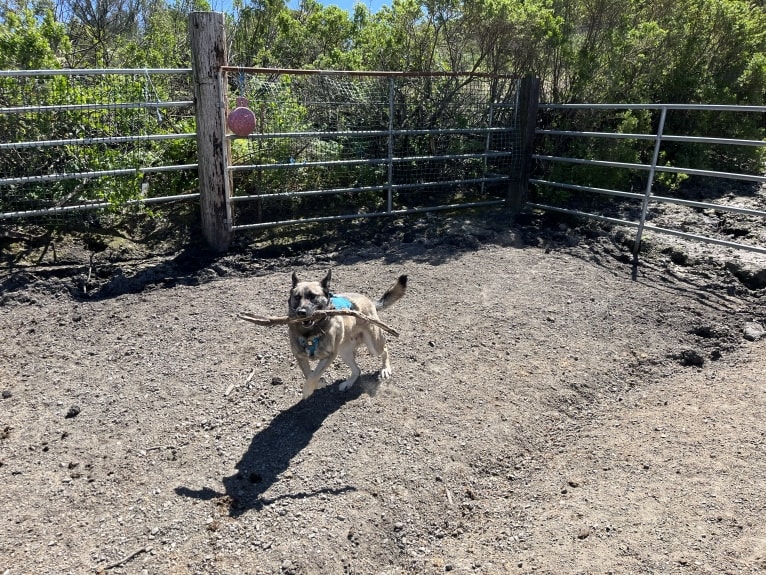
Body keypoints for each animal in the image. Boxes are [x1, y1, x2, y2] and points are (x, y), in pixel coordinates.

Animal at [288, 272, 408, 400]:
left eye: (312, 296)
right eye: (297, 297)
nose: (301, 312)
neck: (310, 333)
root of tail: (368, 300)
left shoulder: (329, 355)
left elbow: (314, 374)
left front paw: (307, 389)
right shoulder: (300, 356)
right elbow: (308, 374)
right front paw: (318, 384)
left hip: (373, 345)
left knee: (384, 350)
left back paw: (385, 369)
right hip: (344, 351)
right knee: (357, 370)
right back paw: (348, 383)